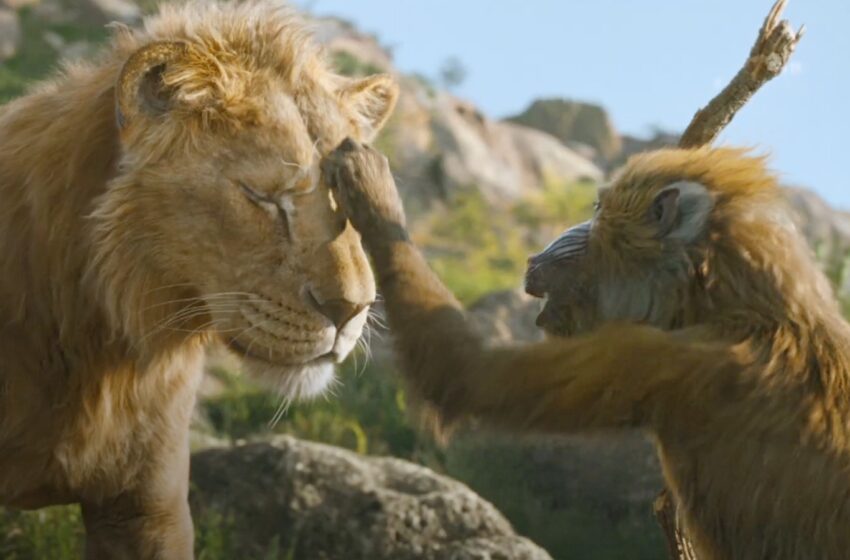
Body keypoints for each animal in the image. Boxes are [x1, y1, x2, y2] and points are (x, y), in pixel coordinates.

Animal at [323, 139, 850, 560]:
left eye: (597, 210)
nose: (541, 252)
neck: (746, 304)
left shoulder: (665, 358)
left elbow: (463, 374)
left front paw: (374, 198)